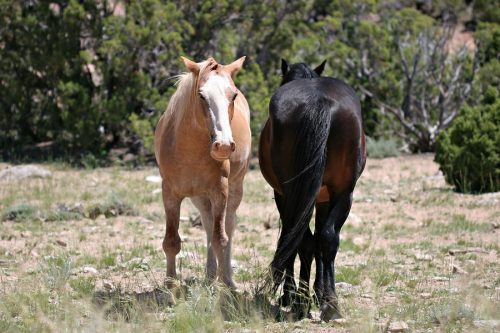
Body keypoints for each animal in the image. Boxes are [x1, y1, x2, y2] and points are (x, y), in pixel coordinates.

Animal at [155, 55, 252, 286]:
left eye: (233, 95)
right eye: (201, 95)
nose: (223, 146)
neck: (187, 151)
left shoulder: (220, 191)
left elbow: (221, 239)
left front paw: (225, 283)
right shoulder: (170, 193)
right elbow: (171, 241)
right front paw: (170, 283)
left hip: (235, 189)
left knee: (228, 225)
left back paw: (226, 277)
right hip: (198, 197)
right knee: (208, 224)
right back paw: (209, 275)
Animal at [260, 59, 366, 320]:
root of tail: (320, 101)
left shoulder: (283, 196)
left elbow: (291, 240)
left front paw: (292, 294)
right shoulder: (322, 198)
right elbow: (319, 240)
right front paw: (318, 293)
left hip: (295, 195)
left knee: (304, 239)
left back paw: (301, 301)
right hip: (343, 194)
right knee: (327, 238)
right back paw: (330, 305)